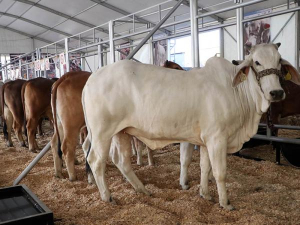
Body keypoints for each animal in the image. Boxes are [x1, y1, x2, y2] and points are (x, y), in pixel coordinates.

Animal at [81, 43, 300, 209]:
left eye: (279, 61)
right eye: (256, 61)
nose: (276, 92)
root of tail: (91, 79)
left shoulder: (205, 140)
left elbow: (205, 168)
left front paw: (205, 194)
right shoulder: (217, 138)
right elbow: (219, 172)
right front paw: (225, 203)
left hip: (121, 132)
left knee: (121, 160)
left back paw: (142, 189)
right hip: (102, 133)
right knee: (96, 161)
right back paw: (107, 197)